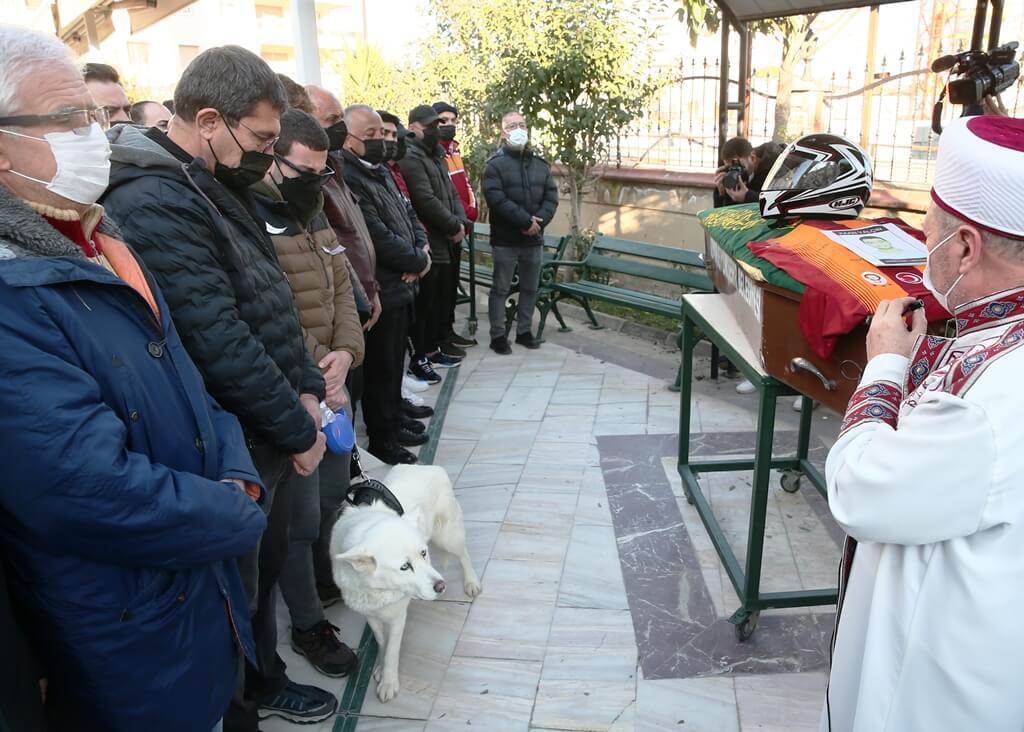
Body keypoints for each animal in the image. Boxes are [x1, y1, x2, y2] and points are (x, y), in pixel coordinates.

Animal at [331, 466, 483, 700]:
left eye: (423, 553)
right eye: (404, 567)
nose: (441, 586)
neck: (378, 589)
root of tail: (424, 466)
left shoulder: (397, 617)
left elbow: (392, 649)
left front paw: (388, 682)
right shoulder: (370, 615)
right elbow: (382, 642)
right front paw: (380, 667)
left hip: (447, 537)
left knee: (463, 554)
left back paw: (471, 582)